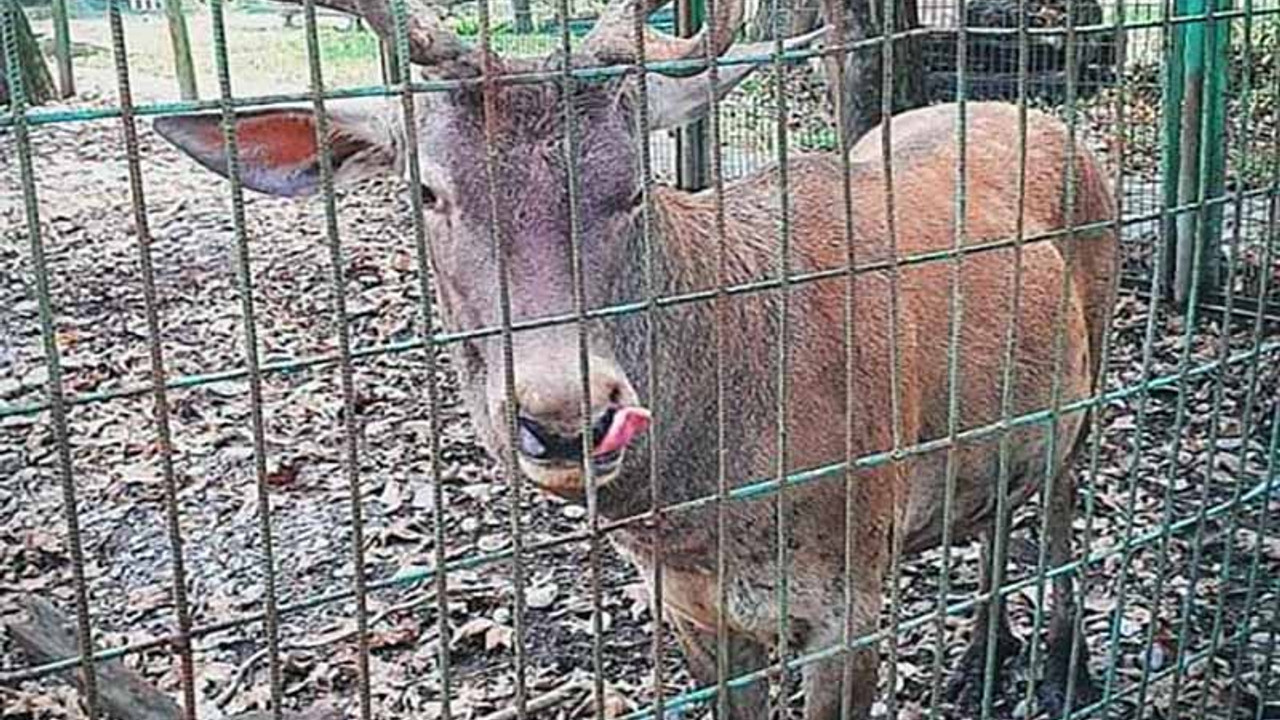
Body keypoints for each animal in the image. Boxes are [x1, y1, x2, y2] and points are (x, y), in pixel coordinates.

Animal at [147, 0, 1111, 712]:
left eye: (637, 184)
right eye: (426, 189)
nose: (567, 414)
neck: (702, 514)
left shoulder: (853, 587)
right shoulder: (692, 612)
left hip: (1093, 356)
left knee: (1063, 499)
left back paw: (1065, 670)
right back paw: (980, 662)